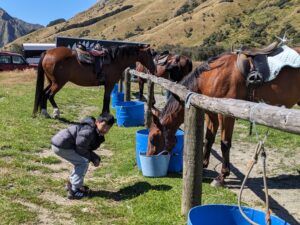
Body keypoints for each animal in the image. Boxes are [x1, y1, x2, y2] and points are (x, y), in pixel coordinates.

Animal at [146, 42, 300, 186]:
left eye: (153, 138)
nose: (148, 156)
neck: (212, 76)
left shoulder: (225, 115)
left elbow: (224, 143)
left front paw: (222, 176)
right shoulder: (211, 113)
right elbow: (208, 139)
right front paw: (203, 165)